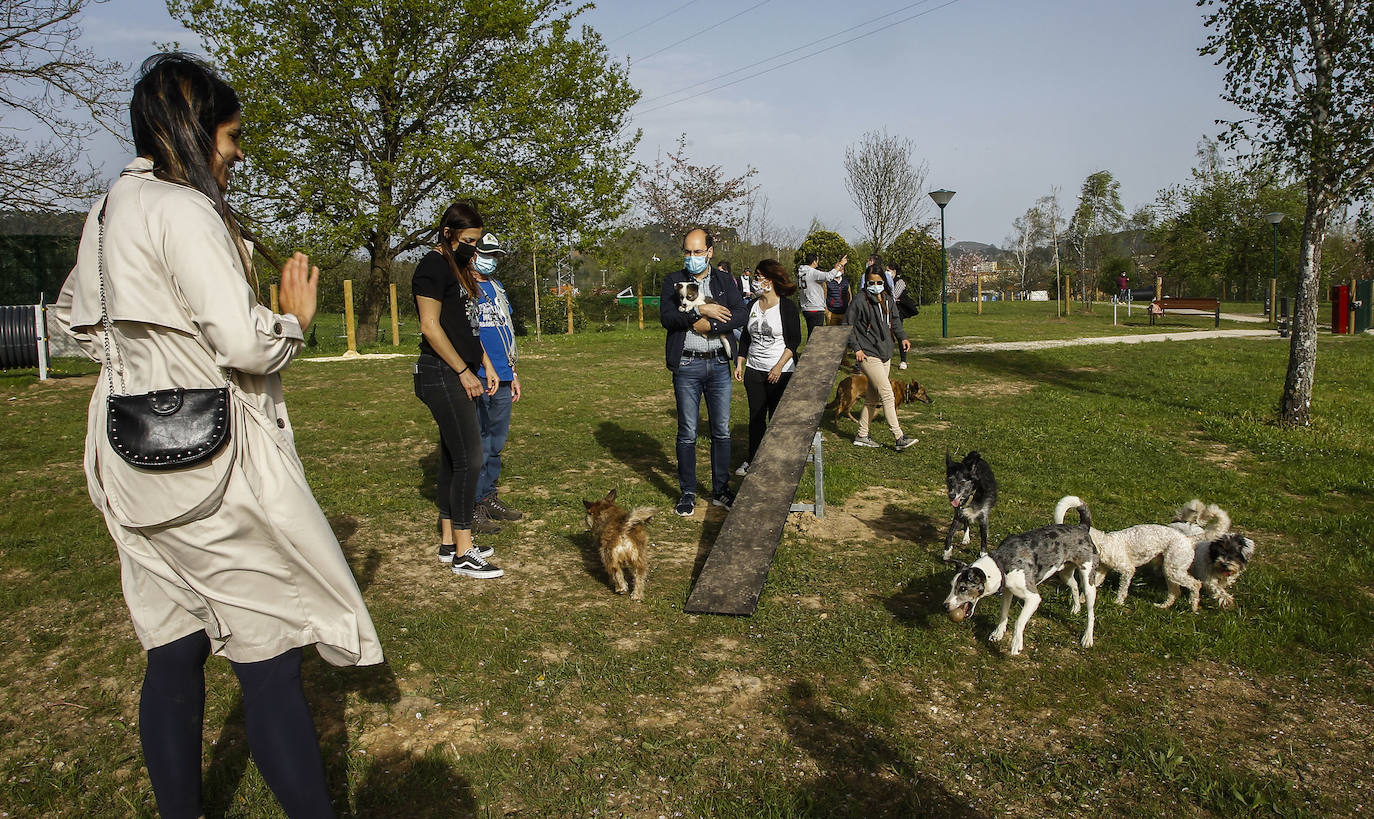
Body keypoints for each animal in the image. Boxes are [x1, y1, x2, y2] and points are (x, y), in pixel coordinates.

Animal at [939, 494, 1099, 656]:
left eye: (963, 588)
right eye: (952, 586)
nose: (944, 606)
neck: (1002, 564)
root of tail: (1082, 527)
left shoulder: (1033, 598)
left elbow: (1019, 621)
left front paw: (1016, 644)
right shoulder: (1007, 592)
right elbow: (1003, 614)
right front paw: (998, 633)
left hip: (1089, 583)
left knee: (1091, 614)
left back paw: (1087, 638)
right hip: (1065, 574)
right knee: (1074, 586)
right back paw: (1075, 608)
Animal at [1055, 491, 1231, 607]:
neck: (1106, 543)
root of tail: (1189, 539)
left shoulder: (1127, 570)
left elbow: (1122, 588)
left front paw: (1118, 602)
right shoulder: (1101, 572)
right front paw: (1083, 600)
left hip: (1175, 570)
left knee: (1196, 585)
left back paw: (1193, 607)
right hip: (1170, 570)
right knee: (1175, 592)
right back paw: (1163, 606)